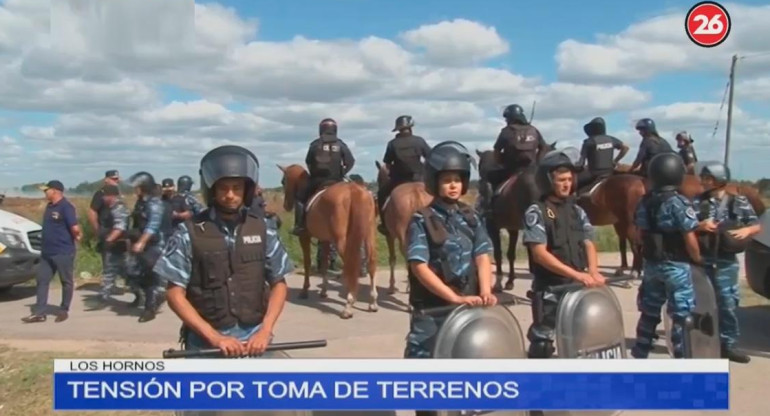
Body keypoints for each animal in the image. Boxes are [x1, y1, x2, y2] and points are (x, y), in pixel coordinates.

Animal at [276, 164, 378, 320]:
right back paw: (372, 302)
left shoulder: (304, 237)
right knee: (371, 262)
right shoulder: (324, 239)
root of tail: (353, 190)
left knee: (352, 265)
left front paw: (305, 290)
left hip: (342, 240)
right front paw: (323, 291)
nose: (286, 205)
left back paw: (348, 305)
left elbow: (307, 262)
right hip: (368, 235)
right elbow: (324, 262)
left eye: (283, 181)